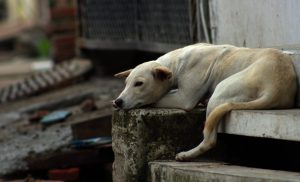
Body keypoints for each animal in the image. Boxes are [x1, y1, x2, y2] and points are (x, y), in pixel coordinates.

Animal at [113, 43, 298, 160]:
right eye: (126, 83)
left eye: (139, 83)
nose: (117, 102)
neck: (176, 62)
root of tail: (276, 89)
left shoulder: (184, 98)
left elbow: (157, 99)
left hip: (221, 91)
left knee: (210, 141)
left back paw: (187, 155)